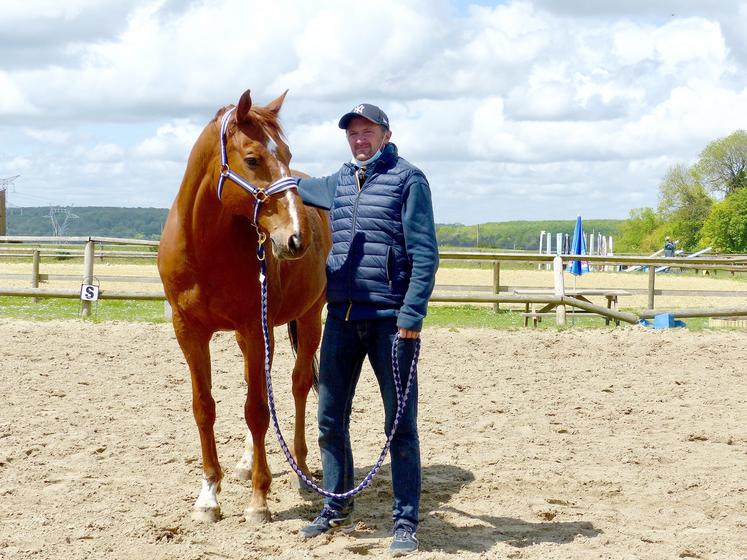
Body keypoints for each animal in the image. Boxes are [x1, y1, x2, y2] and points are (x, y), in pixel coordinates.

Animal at [157, 89, 331, 523]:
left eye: (286, 152)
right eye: (252, 159)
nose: (296, 238)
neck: (204, 248)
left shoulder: (255, 327)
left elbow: (257, 409)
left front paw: (259, 499)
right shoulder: (189, 331)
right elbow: (204, 407)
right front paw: (209, 495)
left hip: (309, 318)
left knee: (298, 384)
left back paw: (302, 469)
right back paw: (247, 462)